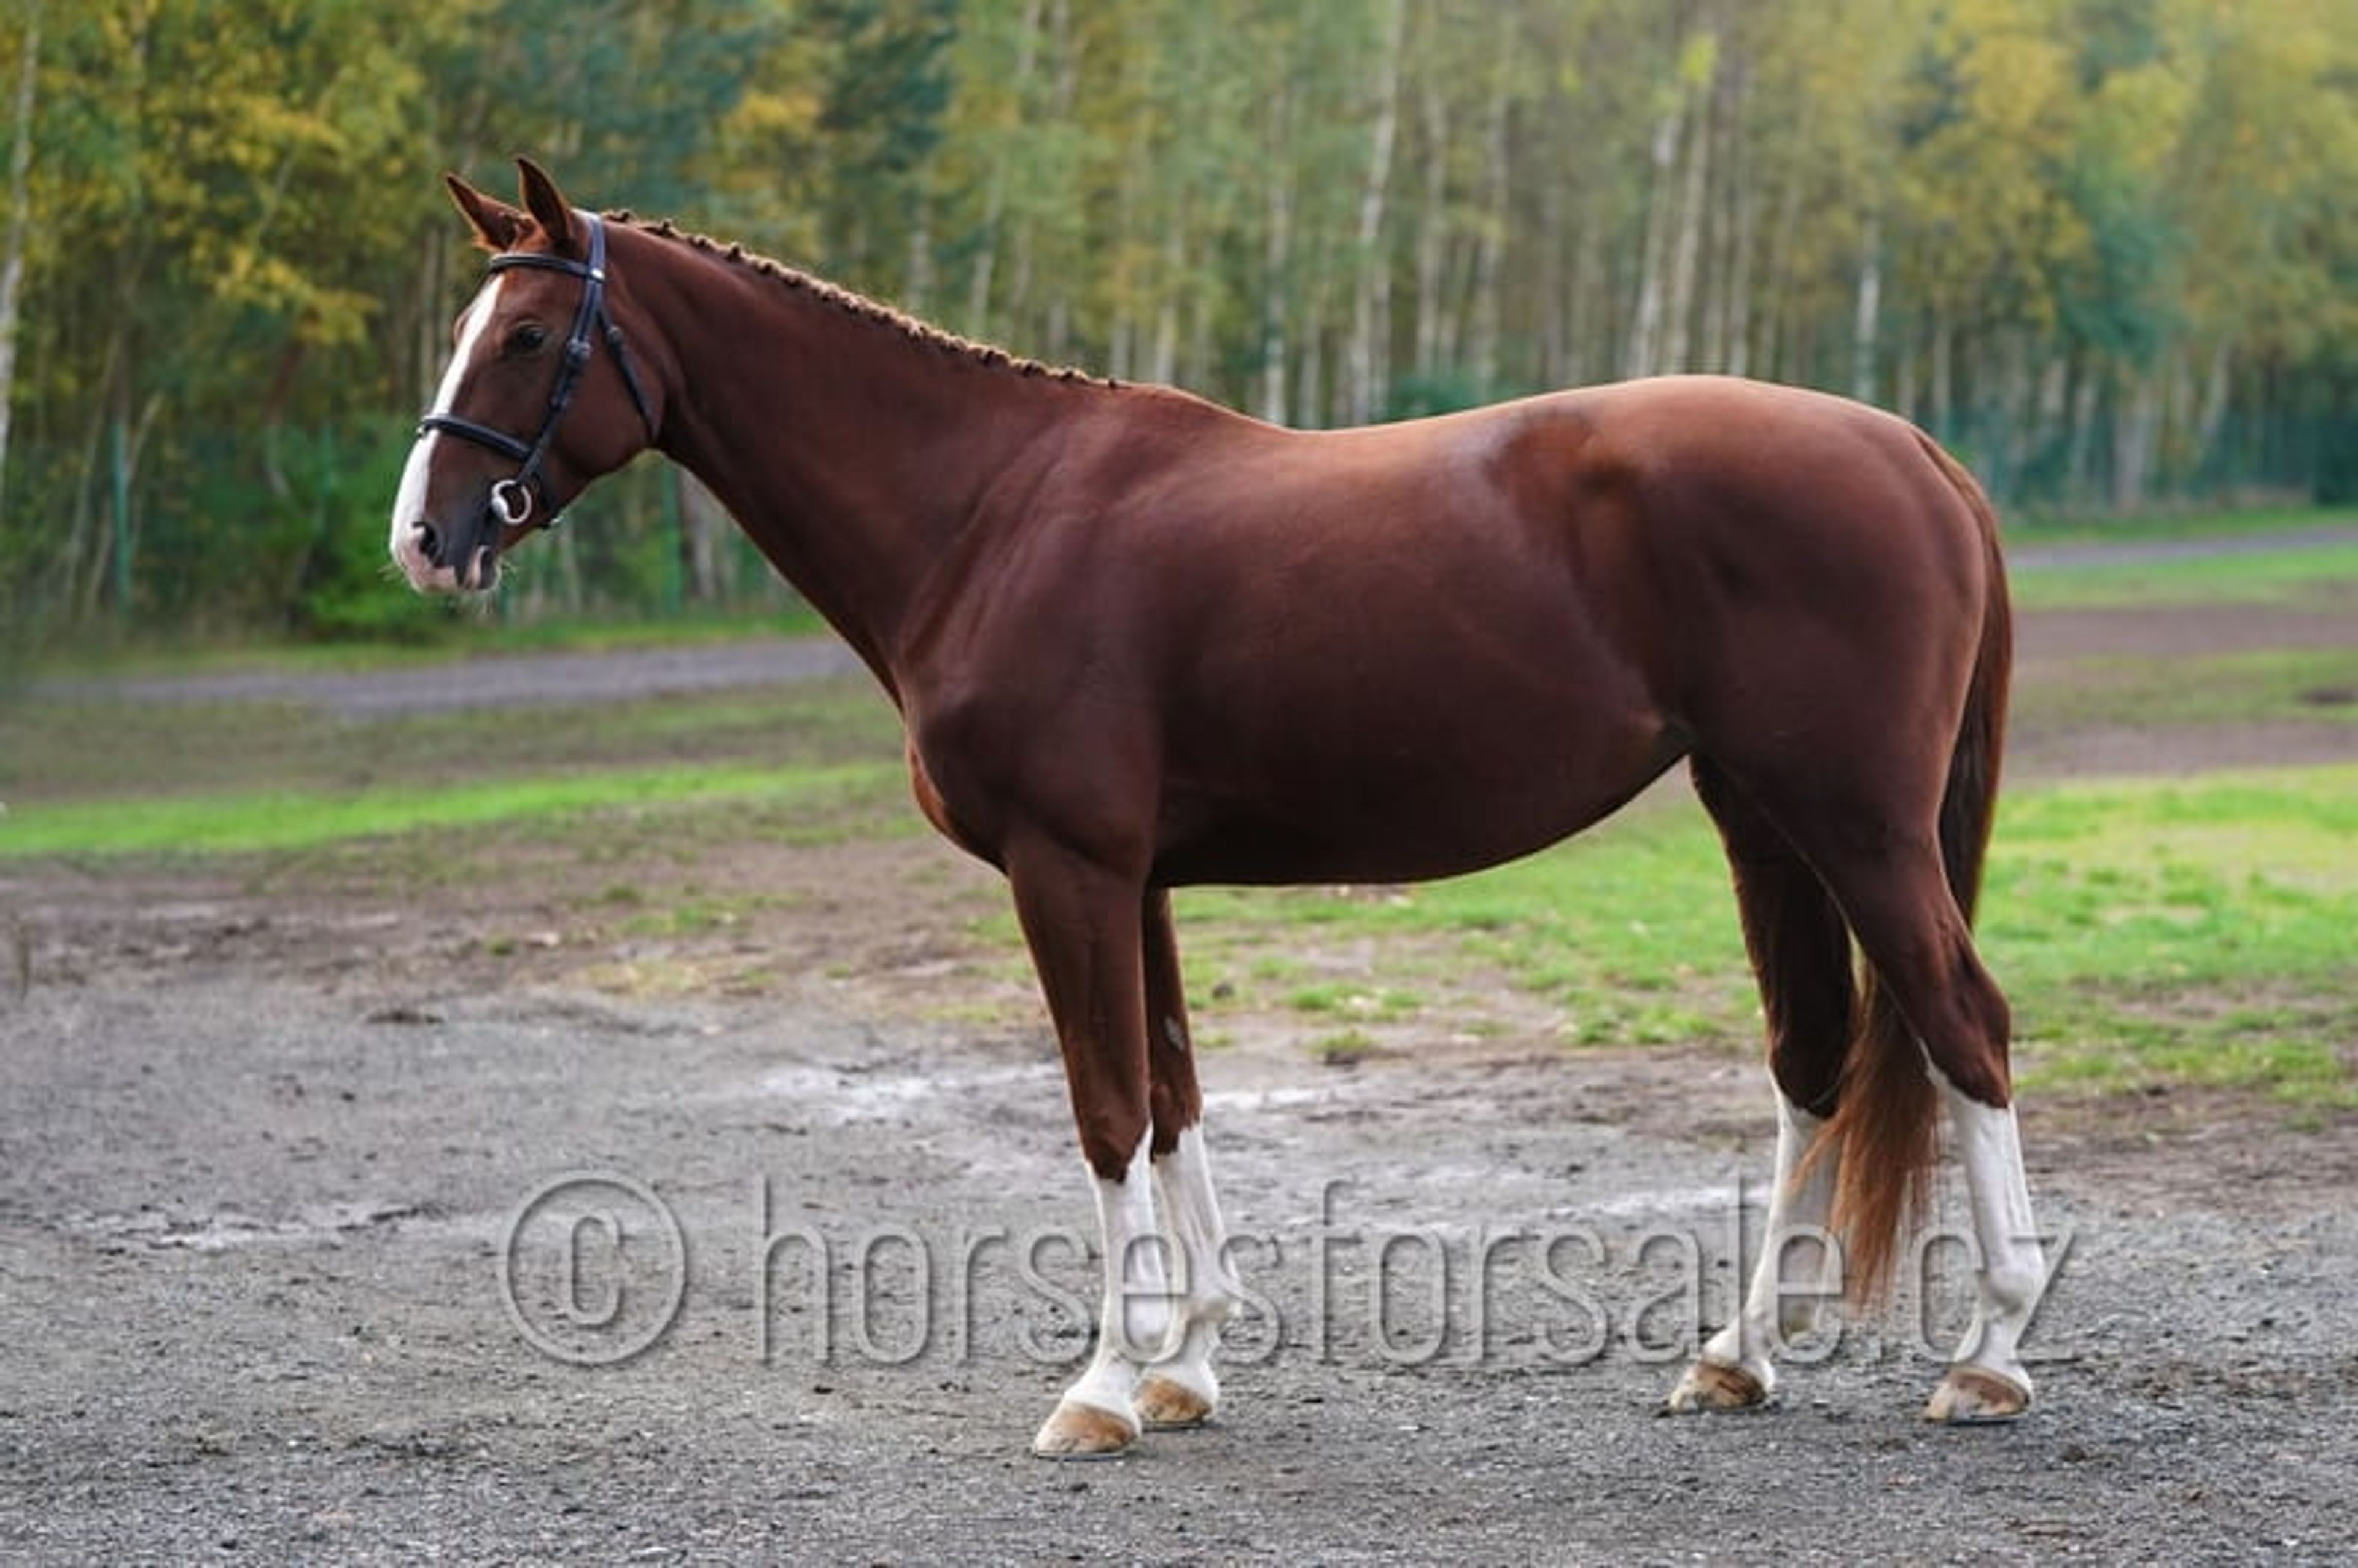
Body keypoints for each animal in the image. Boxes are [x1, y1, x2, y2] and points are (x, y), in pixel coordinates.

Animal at [390, 160, 2044, 1458]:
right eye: (468, 328)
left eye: (529, 336)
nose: (425, 537)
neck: (990, 512)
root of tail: (1915, 450)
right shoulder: (1139, 880)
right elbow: (1174, 1090)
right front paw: (1184, 1361)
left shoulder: (1066, 869)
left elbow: (1105, 1106)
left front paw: (1103, 1383)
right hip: (1761, 816)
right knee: (1814, 1056)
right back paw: (1737, 1354)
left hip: (1860, 828)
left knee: (1963, 1026)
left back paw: (1988, 1353)